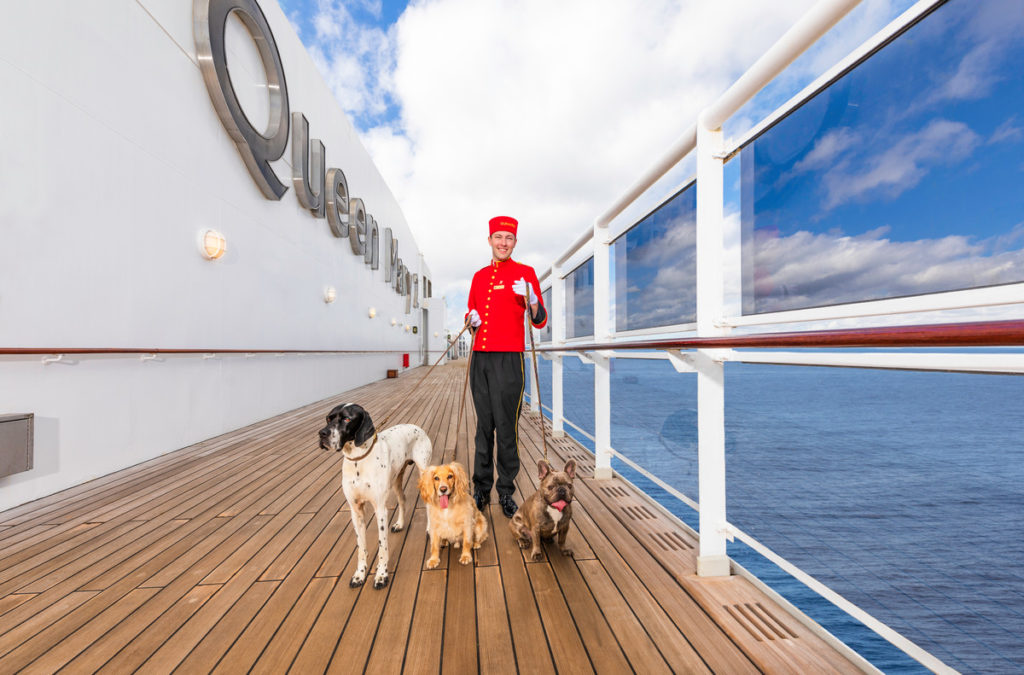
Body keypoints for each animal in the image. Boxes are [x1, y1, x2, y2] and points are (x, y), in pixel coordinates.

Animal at [319, 403, 432, 589]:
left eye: (347, 419)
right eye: (329, 418)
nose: (322, 433)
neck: (357, 460)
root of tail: (416, 427)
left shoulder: (380, 511)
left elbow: (382, 547)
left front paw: (381, 575)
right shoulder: (356, 512)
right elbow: (361, 548)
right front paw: (360, 574)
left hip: (424, 475)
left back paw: (430, 528)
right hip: (396, 480)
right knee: (403, 500)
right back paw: (400, 524)